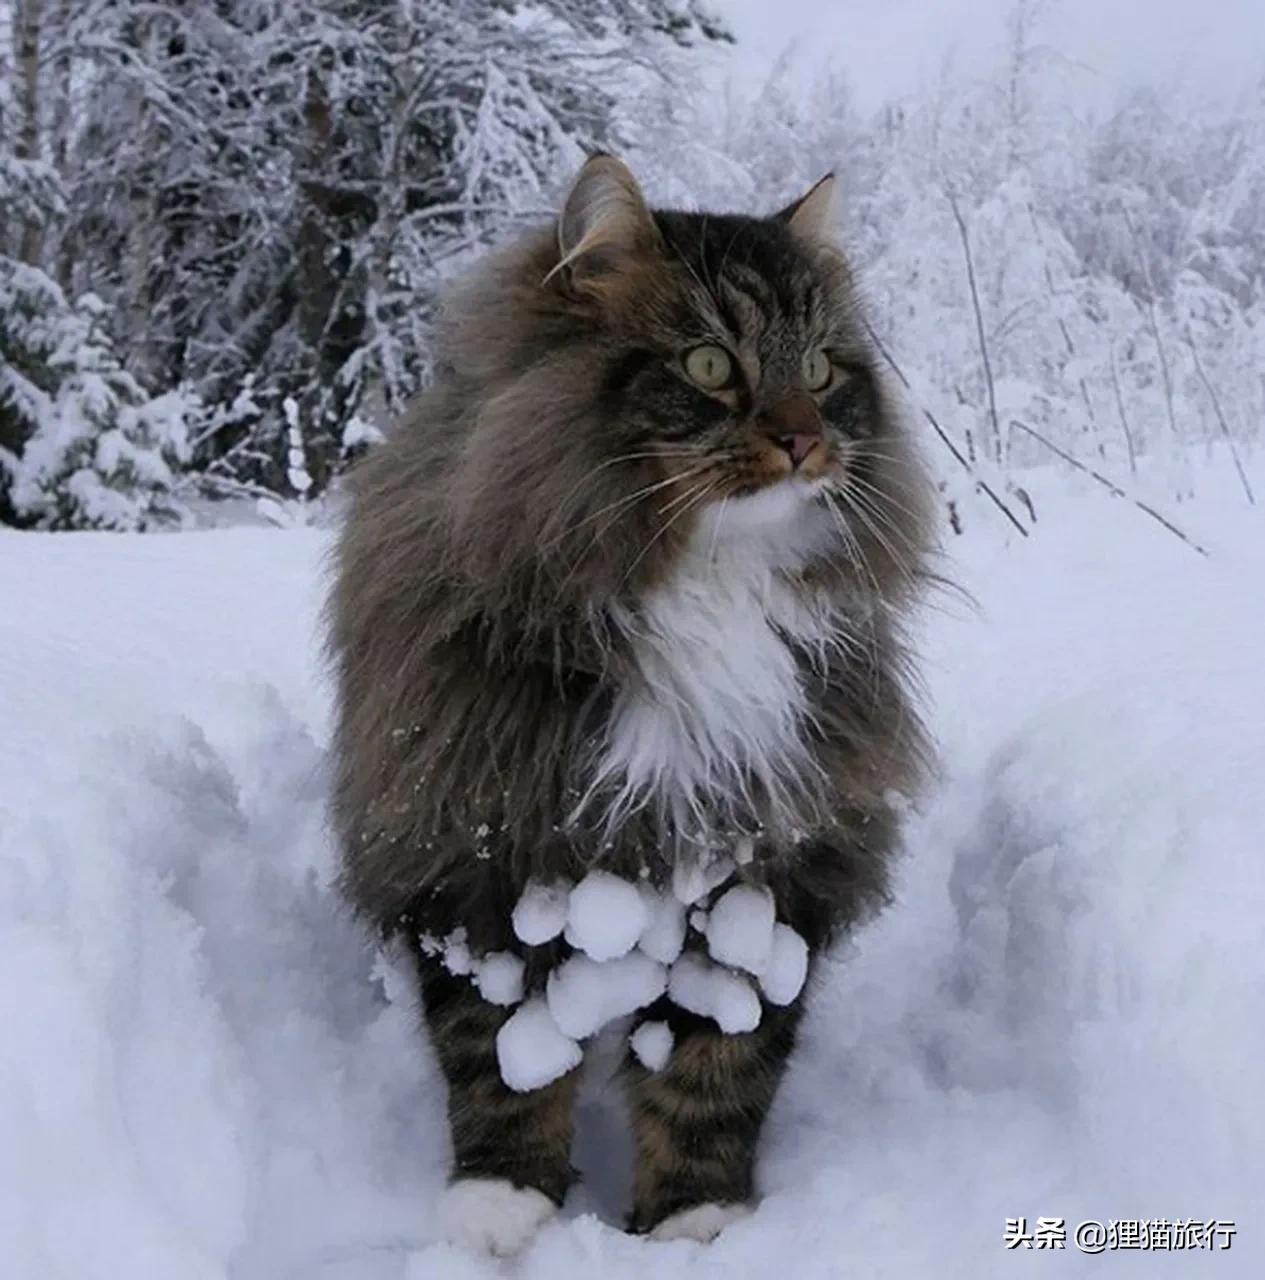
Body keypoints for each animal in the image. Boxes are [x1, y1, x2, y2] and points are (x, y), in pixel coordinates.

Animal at [327, 154, 937, 1254]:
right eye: (708, 365)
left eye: (823, 370)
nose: (804, 439)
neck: (708, 593)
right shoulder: (478, 840)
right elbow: (499, 1050)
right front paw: (500, 1209)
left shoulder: (766, 857)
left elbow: (718, 1067)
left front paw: (694, 1223)